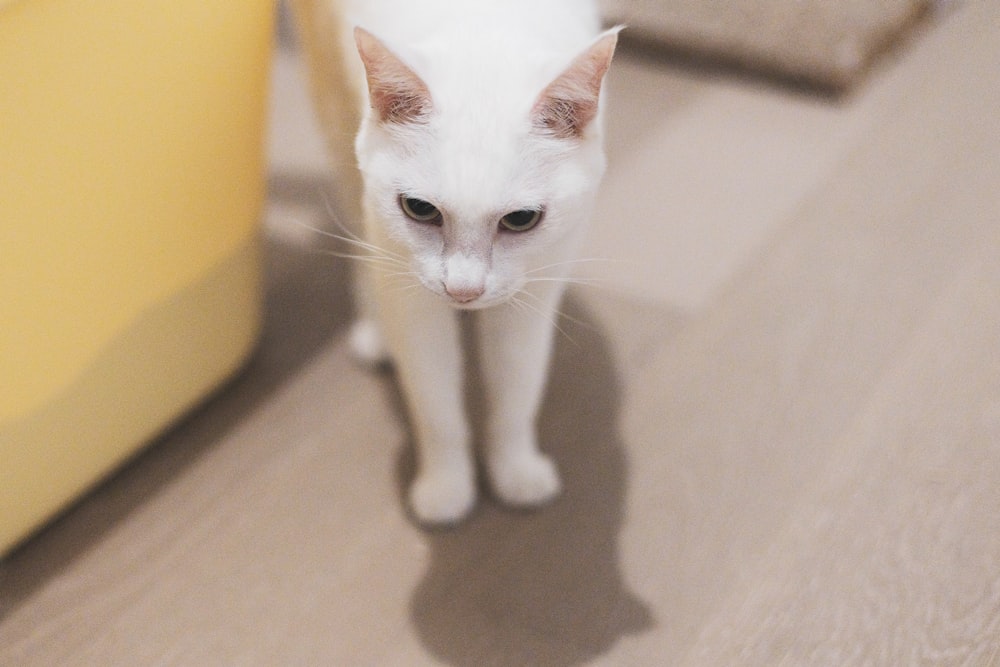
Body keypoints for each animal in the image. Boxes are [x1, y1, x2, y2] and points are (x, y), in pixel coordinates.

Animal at [290, 0, 616, 524]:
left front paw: (516, 473)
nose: (464, 291)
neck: (480, 35)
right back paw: (375, 331)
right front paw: (446, 487)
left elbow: (517, 392)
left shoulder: (532, 295)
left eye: (521, 219)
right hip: (337, 130)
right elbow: (436, 405)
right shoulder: (414, 304)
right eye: (420, 210)